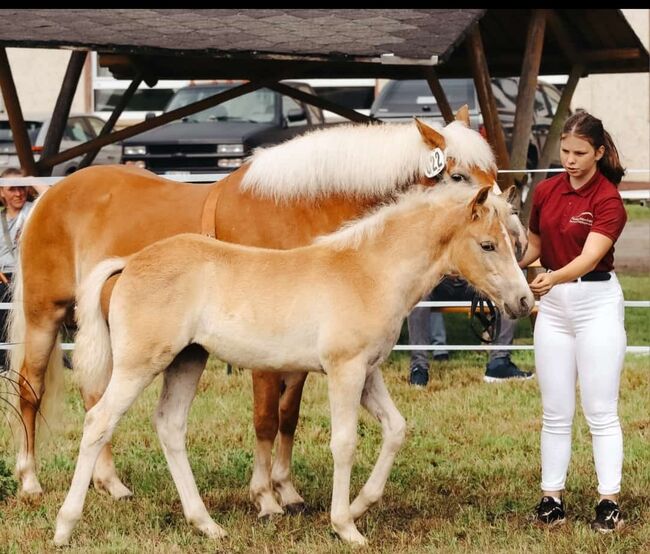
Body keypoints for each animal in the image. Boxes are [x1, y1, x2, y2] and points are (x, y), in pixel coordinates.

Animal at [6, 109, 512, 512]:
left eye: (491, 169)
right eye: (458, 176)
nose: (512, 228)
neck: (298, 209)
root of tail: (49, 195)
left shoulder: (301, 350)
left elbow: (289, 415)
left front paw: (287, 490)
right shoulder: (266, 354)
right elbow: (266, 417)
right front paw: (265, 497)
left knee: (94, 396)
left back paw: (110, 482)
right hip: (45, 316)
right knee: (32, 389)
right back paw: (30, 479)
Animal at [54, 184, 532, 544]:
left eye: (513, 242)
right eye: (487, 244)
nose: (524, 301)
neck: (369, 272)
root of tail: (130, 262)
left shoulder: (368, 372)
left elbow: (396, 429)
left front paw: (360, 504)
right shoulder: (345, 370)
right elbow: (344, 443)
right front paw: (345, 526)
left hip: (188, 359)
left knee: (170, 425)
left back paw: (207, 525)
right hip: (139, 364)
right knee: (98, 421)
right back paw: (65, 526)